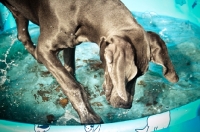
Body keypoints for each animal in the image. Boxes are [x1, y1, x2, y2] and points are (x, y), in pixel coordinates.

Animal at [0, 0, 178, 124]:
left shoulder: (69, 44)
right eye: (129, 75)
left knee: (22, 34)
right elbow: (73, 85)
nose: (126, 105)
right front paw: (88, 117)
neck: (82, 10)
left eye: (141, 75)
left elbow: (69, 71)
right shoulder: (45, 48)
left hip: (18, 12)